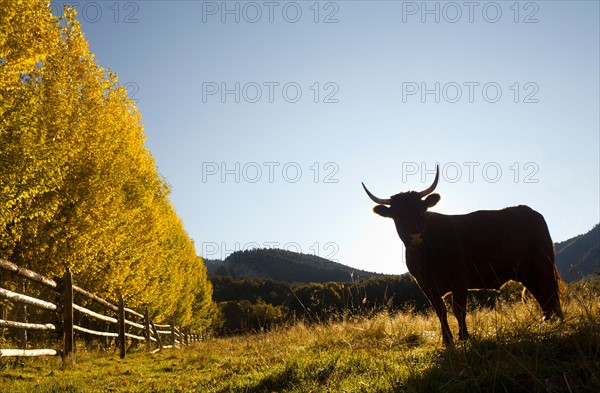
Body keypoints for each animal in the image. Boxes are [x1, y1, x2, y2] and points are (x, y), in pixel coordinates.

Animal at [360, 165, 564, 344]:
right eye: (397, 216)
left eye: (421, 211)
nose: (415, 236)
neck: (426, 257)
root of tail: (529, 210)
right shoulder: (425, 284)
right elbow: (440, 311)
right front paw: (447, 341)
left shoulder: (459, 277)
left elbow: (458, 309)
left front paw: (464, 338)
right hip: (526, 272)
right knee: (541, 295)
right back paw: (546, 323)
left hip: (543, 264)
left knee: (551, 291)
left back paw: (559, 323)